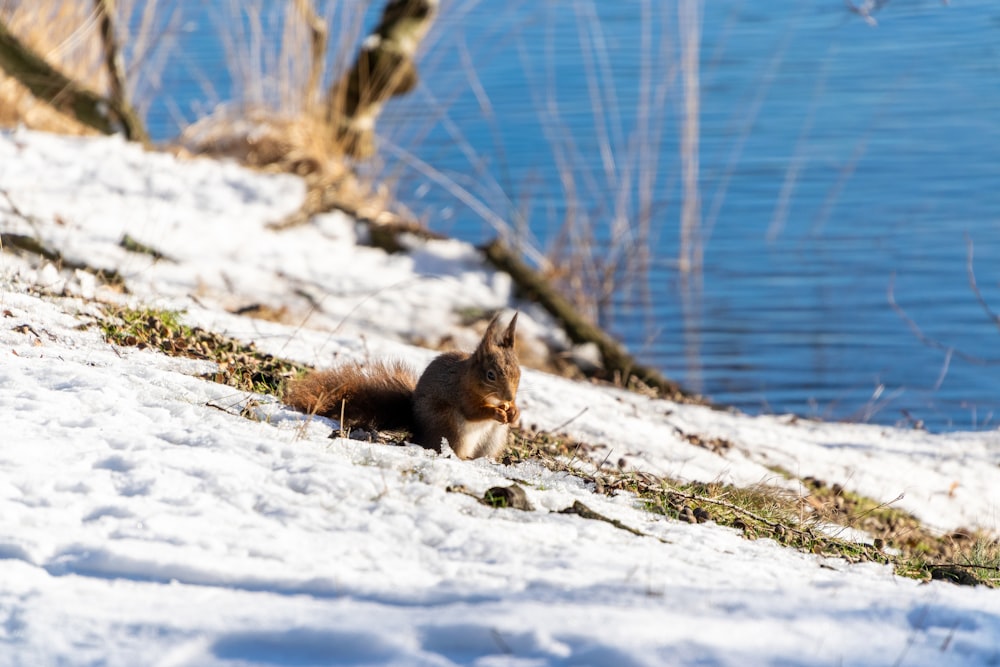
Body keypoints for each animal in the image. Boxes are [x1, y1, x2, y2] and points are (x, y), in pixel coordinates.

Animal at [280, 312, 516, 460]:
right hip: (449, 426)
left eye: (518, 373)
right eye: (490, 375)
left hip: (494, 438)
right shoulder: (459, 393)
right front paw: (497, 412)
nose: (509, 397)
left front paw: (513, 412)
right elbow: (473, 411)